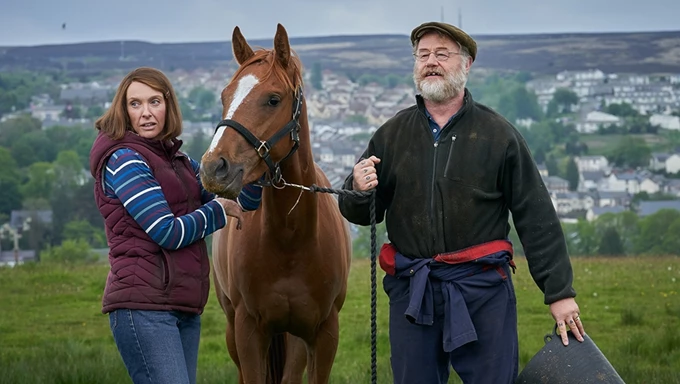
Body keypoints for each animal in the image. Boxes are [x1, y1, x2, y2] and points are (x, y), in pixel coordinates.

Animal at [199, 24, 354, 384]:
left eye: (273, 99)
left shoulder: (324, 334)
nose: (213, 167)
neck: (290, 238)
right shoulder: (248, 332)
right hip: (233, 329)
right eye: (224, 96)